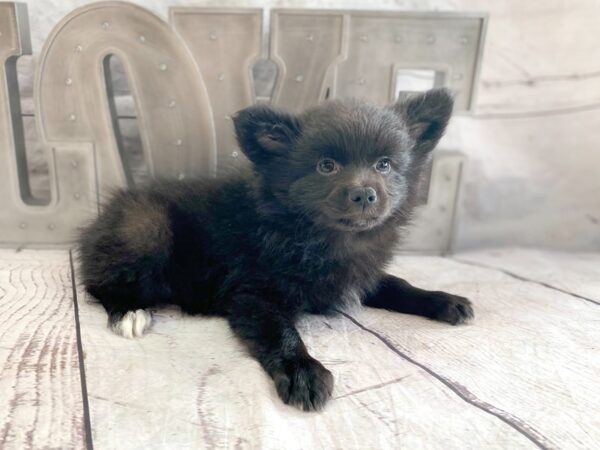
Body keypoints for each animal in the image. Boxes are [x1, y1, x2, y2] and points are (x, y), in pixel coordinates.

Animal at [78, 88, 474, 412]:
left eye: (384, 164)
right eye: (326, 166)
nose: (364, 194)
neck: (321, 237)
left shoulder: (359, 275)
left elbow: (398, 284)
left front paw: (443, 300)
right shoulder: (254, 295)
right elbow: (281, 332)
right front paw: (303, 372)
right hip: (146, 226)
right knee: (99, 282)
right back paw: (129, 312)